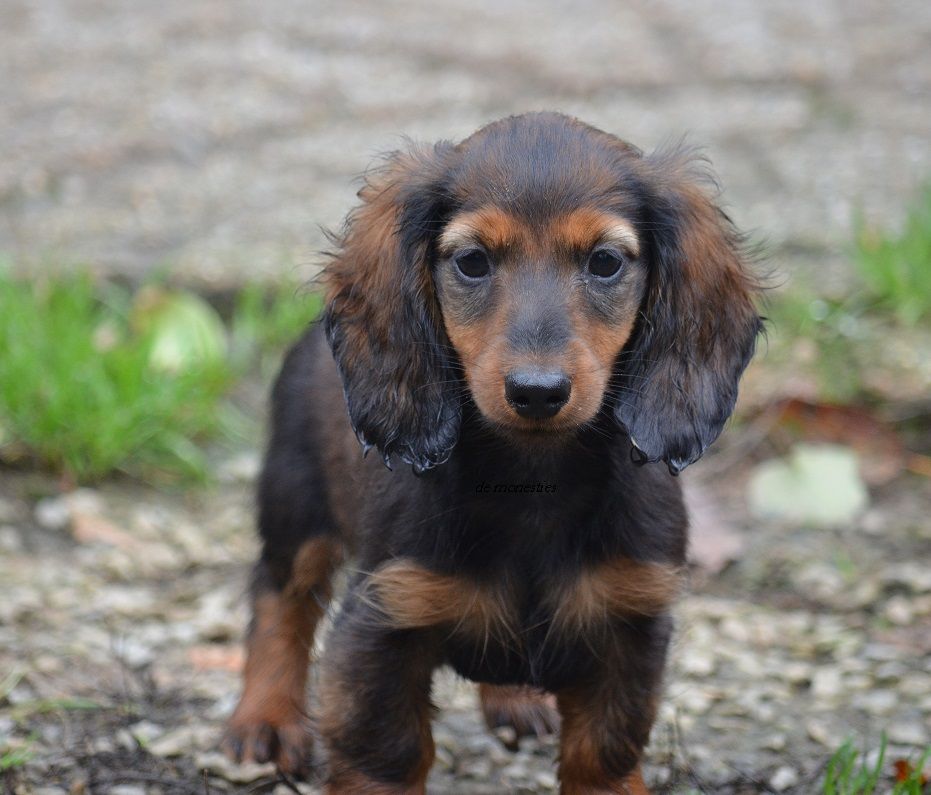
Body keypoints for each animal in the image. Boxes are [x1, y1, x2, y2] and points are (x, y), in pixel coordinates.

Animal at [222, 112, 760, 795]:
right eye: (473, 262)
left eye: (606, 261)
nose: (537, 391)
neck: (531, 483)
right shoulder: (385, 618)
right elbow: (386, 755)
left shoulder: (630, 621)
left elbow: (603, 756)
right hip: (295, 498)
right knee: (278, 597)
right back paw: (265, 719)